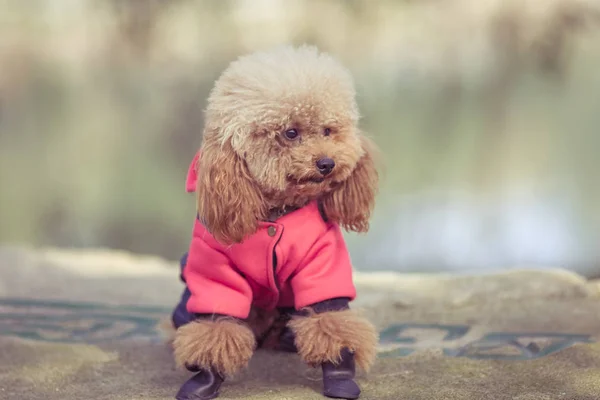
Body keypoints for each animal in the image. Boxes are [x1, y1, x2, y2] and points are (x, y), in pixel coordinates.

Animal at [171, 44, 378, 400]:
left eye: (328, 130)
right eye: (290, 132)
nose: (327, 163)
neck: (276, 212)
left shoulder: (323, 261)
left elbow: (330, 317)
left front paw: (339, 370)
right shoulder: (215, 267)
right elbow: (216, 324)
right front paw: (205, 377)